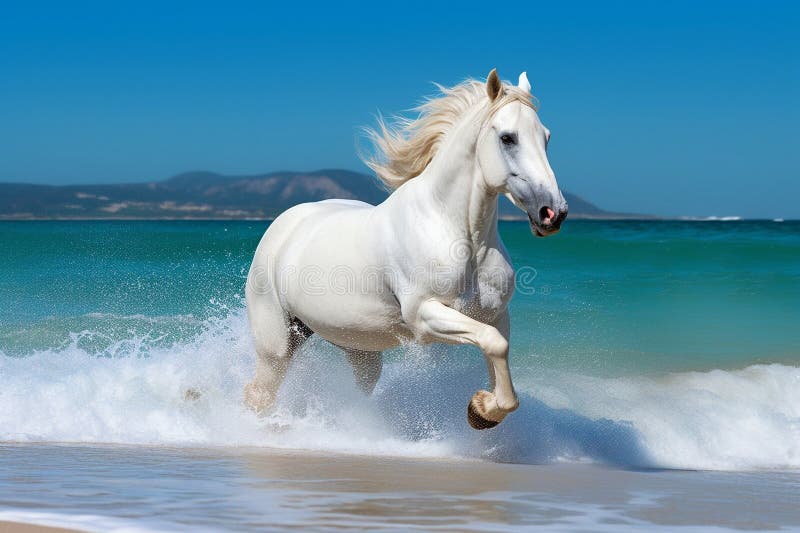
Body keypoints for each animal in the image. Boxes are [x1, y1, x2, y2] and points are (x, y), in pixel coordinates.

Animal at [247, 70, 564, 428]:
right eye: (508, 138)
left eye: (546, 137)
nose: (553, 213)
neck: (461, 236)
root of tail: (284, 223)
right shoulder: (424, 317)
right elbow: (494, 344)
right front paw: (480, 411)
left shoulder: (496, 315)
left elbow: (500, 359)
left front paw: (483, 409)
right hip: (276, 343)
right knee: (259, 394)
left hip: (357, 347)